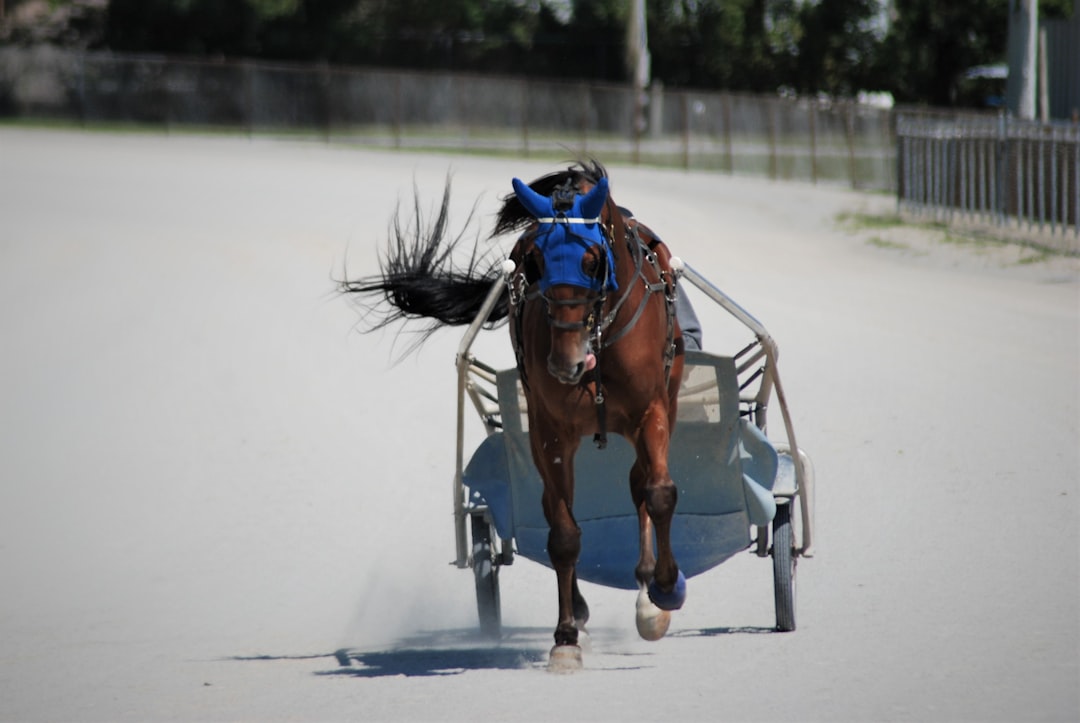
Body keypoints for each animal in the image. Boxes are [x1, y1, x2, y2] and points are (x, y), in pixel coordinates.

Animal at [342, 161, 689, 667]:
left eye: (592, 261)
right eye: (536, 263)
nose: (565, 362)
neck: (597, 343)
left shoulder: (651, 410)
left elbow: (658, 493)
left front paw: (664, 590)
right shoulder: (552, 429)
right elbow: (562, 531)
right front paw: (565, 636)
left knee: (640, 484)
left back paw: (648, 592)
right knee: (558, 503)